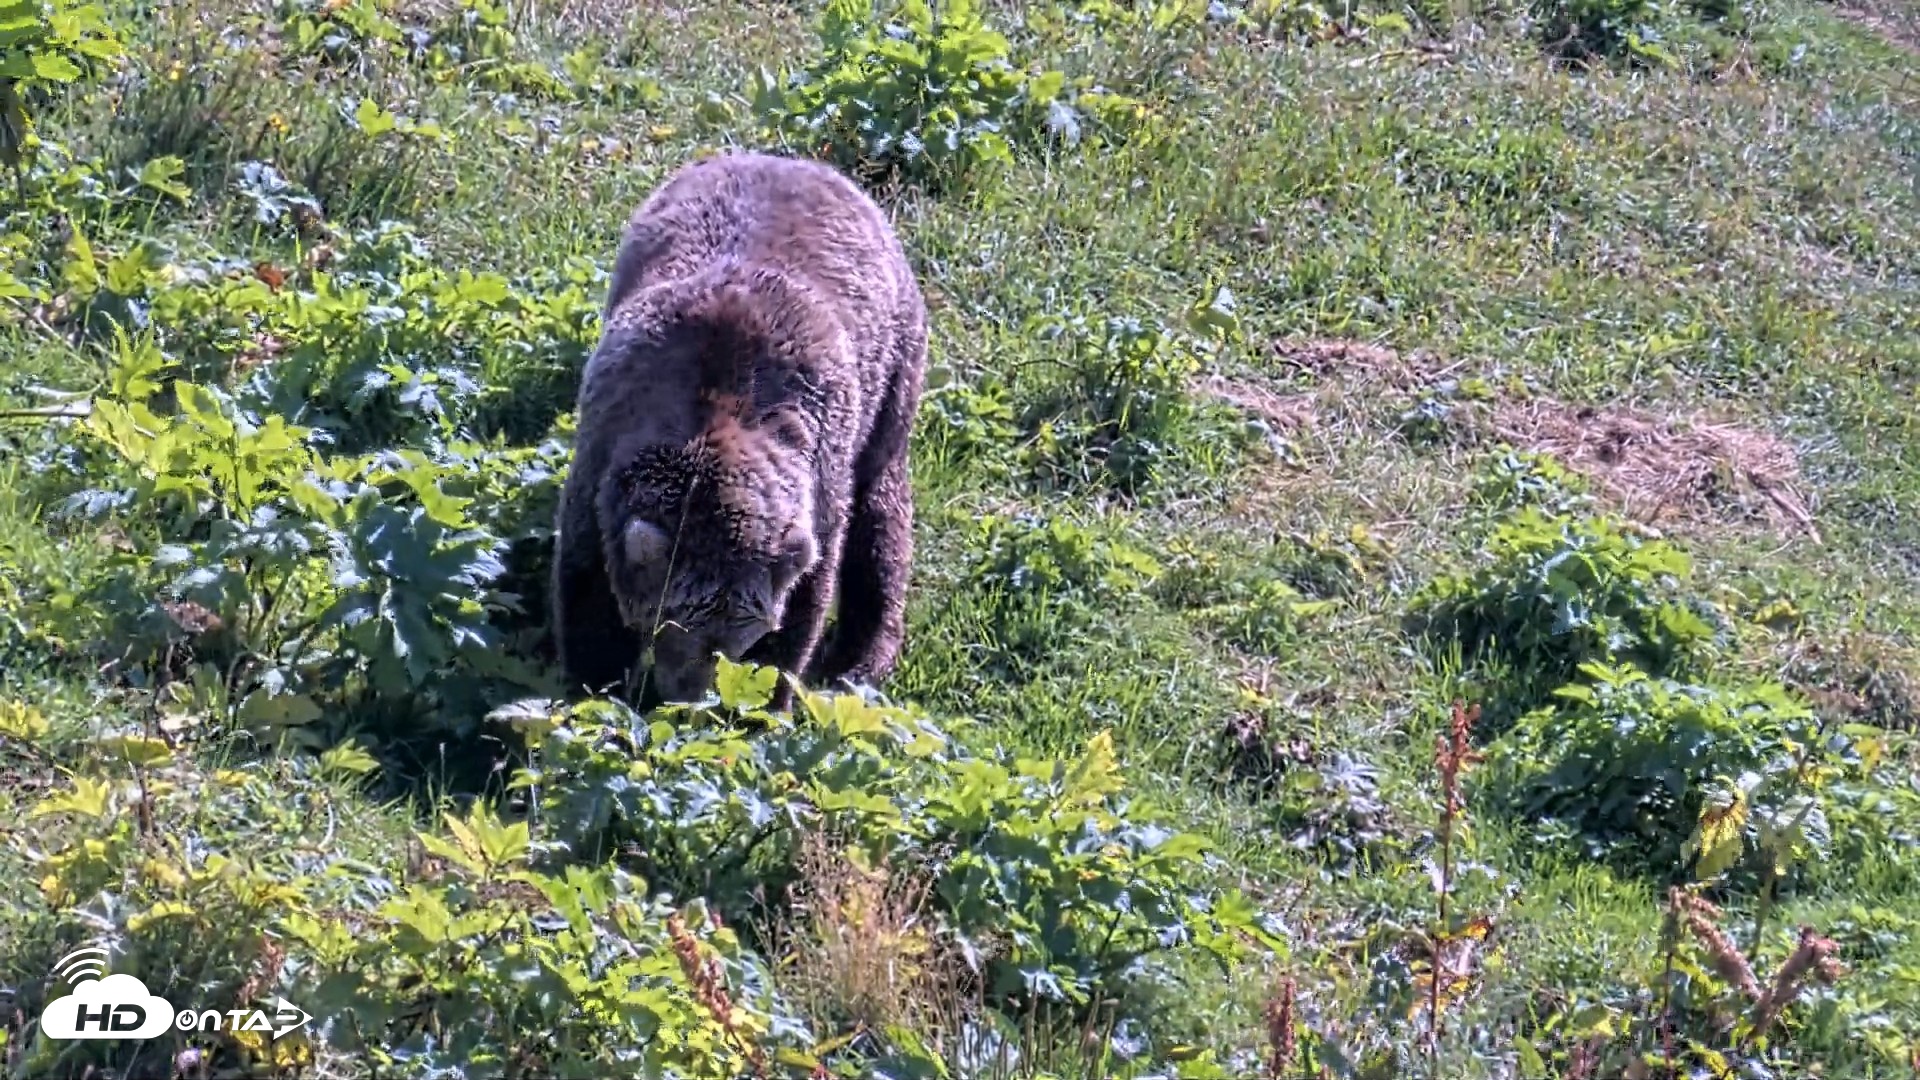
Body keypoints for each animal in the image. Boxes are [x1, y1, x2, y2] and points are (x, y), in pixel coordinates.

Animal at [551, 150, 928, 709]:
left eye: (734, 639)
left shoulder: (818, 478)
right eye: (667, 625)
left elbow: (804, 604)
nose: (686, 697)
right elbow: (586, 592)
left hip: (893, 370)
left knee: (879, 511)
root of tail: (792, 160)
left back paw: (860, 657)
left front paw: (765, 705)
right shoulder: (602, 464)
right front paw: (593, 688)